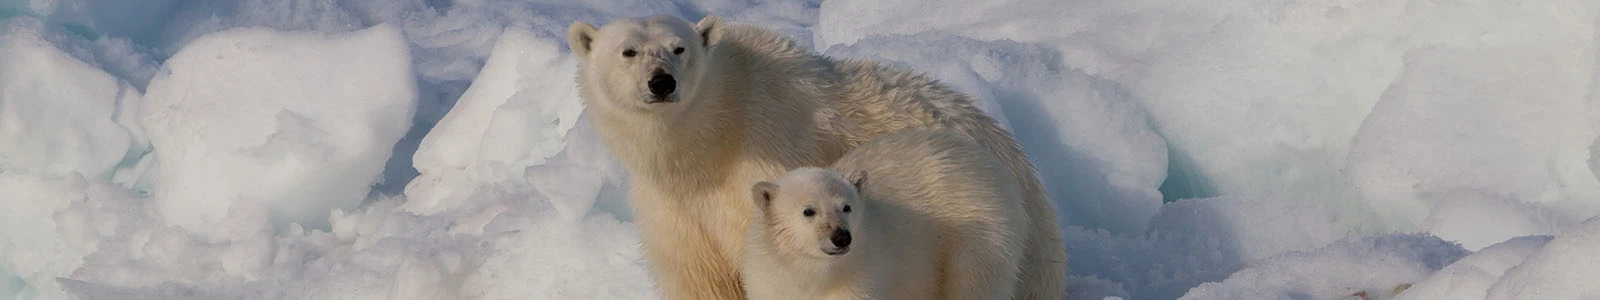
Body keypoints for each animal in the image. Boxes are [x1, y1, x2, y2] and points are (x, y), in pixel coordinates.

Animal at [569, 14, 1068, 300]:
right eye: (628, 51)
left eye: (680, 48)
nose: (661, 82)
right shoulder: (673, 207)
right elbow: (697, 275)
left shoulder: (767, 152)